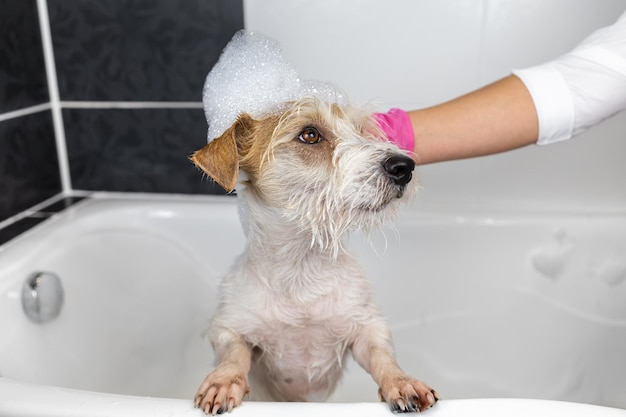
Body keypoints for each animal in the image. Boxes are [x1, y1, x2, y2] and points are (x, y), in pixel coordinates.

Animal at [188, 95, 436, 412]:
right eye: (310, 135)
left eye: (362, 131)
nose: (404, 166)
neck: (301, 266)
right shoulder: (228, 327)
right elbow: (234, 353)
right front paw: (224, 380)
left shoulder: (367, 328)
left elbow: (383, 357)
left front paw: (401, 382)